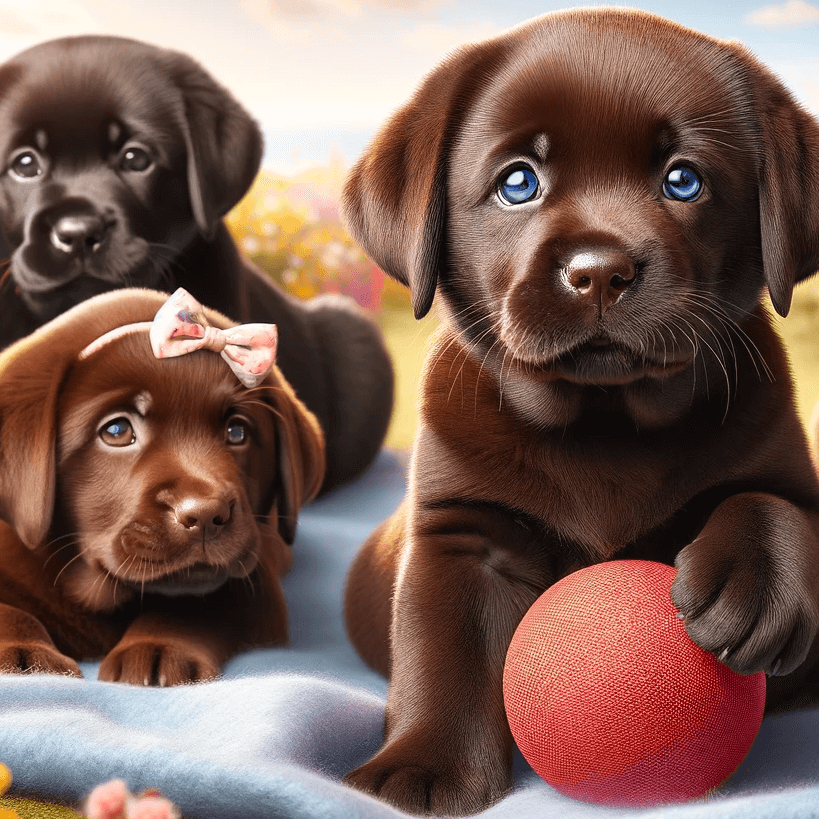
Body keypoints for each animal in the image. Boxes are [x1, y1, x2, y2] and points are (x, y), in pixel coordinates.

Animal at [0, 288, 326, 684]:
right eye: (117, 431)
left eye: (237, 432)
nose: (205, 515)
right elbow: (8, 611)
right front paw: (25, 654)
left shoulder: (258, 592)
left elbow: (196, 602)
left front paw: (156, 647)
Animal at [342, 9, 819, 816]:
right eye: (517, 183)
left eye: (683, 179)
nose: (600, 271)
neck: (605, 422)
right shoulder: (460, 530)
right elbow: (442, 654)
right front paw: (420, 769)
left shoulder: (785, 467)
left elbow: (773, 504)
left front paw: (752, 583)